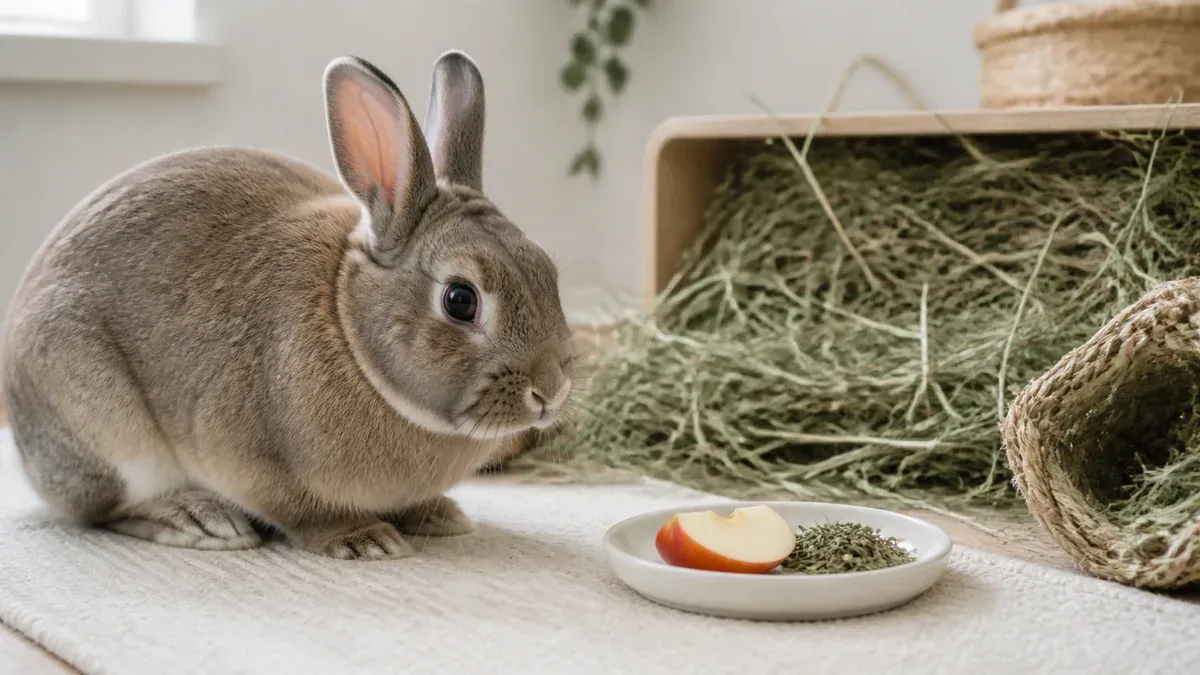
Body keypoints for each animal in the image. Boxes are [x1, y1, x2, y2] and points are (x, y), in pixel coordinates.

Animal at [0, 50, 577, 561]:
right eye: (460, 300)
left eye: (548, 272)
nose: (550, 390)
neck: (350, 327)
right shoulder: (254, 461)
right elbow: (305, 513)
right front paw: (364, 540)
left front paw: (438, 515)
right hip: (104, 426)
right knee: (104, 508)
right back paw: (198, 520)